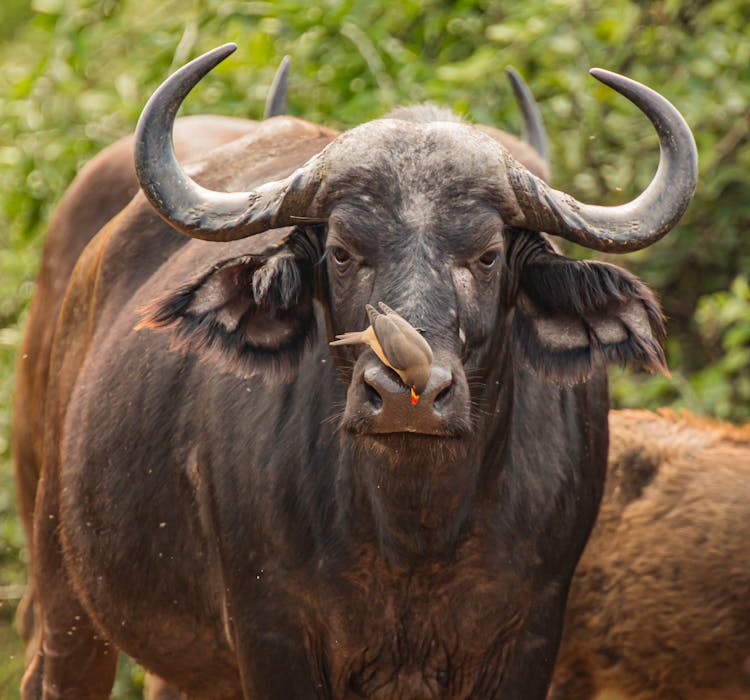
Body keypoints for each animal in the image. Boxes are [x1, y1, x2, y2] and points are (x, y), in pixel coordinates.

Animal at [16, 45, 700, 700]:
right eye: (343, 252)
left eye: (487, 255)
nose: (406, 394)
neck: (413, 530)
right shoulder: (270, 634)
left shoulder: (532, 637)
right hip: (60, 574)